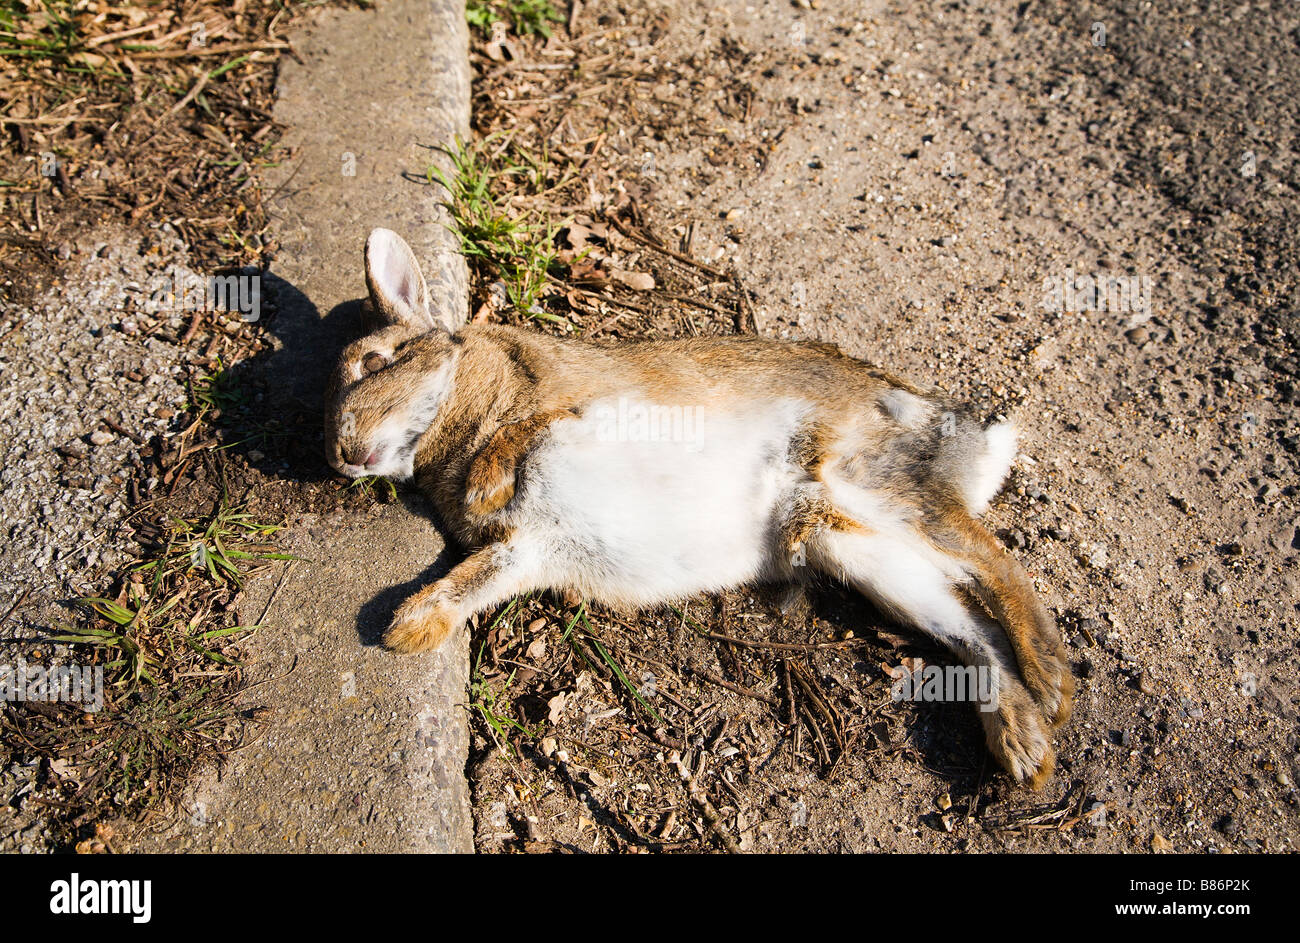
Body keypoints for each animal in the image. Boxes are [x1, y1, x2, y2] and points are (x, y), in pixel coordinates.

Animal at [324, 228, 1073, 787]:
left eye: (377, 361)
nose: (341, 452)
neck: (462, 407)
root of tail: (962, 436)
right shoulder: (527, 545)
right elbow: (470, 580)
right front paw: (408, 627)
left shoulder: (574, 412)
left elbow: (520, 435)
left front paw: (478, 492)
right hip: (849, 541)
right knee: (969, 623)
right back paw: (1025, 744)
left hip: (869, 483)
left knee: (992, 561)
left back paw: (1053, 684)